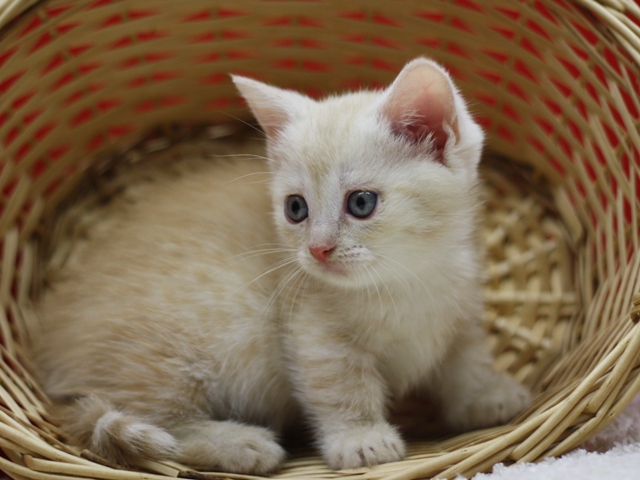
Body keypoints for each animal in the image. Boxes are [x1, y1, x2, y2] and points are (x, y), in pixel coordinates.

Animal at [30, 58, 528, 474]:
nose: (318, 250)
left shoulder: (463, 308)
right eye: (296, 209)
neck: (406, 280)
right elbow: (341, 387)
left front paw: (486, 396)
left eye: (361, 203)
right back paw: (240, 443)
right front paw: (361, 438)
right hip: (177, 347)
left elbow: (467, 359)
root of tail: (49, 351)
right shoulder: (315, 333)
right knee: (164, 427)